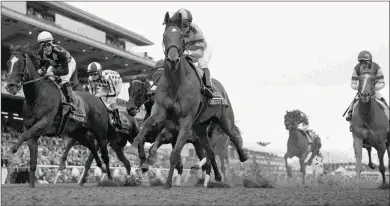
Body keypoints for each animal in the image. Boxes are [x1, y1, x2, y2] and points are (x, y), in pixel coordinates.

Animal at [5, 44, 112, 187]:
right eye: (8, 63)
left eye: (20, 63)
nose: (10, 86)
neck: (37, 96)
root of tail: (99, 101)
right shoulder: (31, 129)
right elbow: (32, 161)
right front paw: (31, 185)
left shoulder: (44, 123)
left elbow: (24, 136)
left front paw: (12, 149)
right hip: (78, 132)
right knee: (91, 146)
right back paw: (100, 167)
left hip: (100, 133)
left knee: (105, 153)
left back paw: (110, 178)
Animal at [129, 12, 248, 189]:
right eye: (164, 36)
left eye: (181, 37)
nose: (172, 59)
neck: (176, 83)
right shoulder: (161, 113)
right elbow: (146, 129)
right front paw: (139, 151)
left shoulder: (183, 123)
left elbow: (174, 154)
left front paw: (167, 182)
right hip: (200, 129)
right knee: (210, 154)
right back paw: (216, 177)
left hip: (224, 121)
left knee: (233, 137)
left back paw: (242, 157)